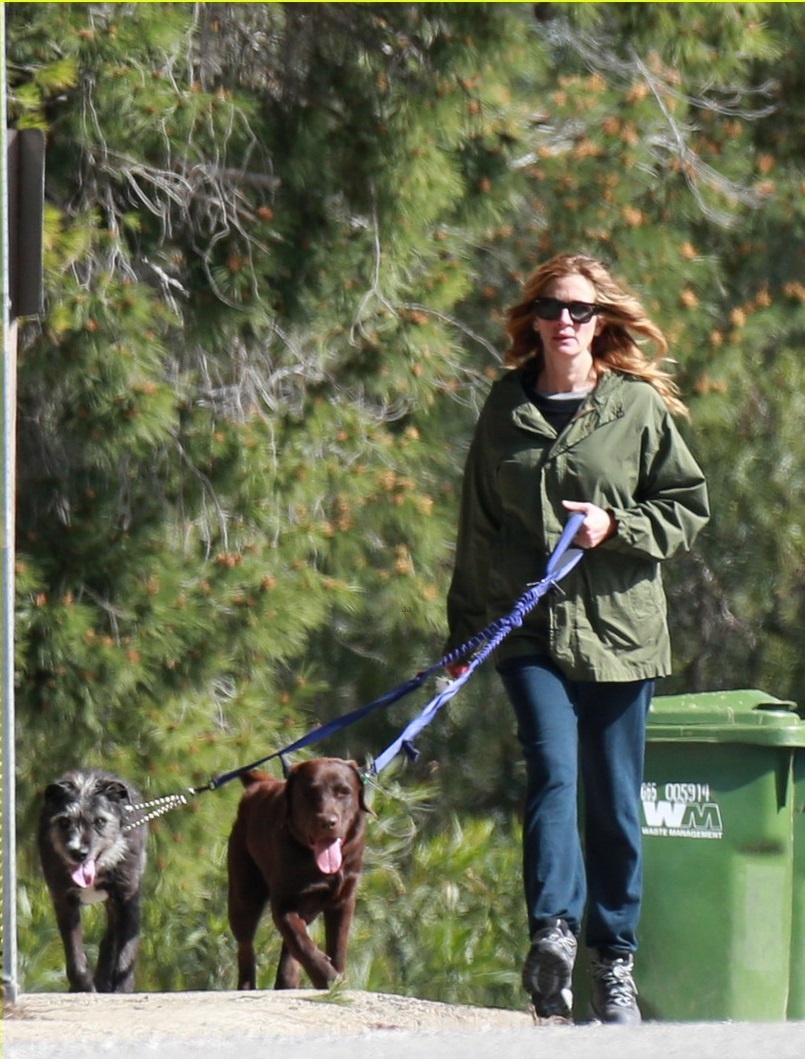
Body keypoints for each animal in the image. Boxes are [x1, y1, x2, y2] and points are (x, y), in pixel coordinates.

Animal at [38, 770, 148, 991]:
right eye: (64, 822)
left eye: (99, 821)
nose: (78, 853)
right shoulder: (64, 902)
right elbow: (75, 958)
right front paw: (84, 987)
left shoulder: (127, 899)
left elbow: (125, 957)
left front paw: (122, 990)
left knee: (110, 939)